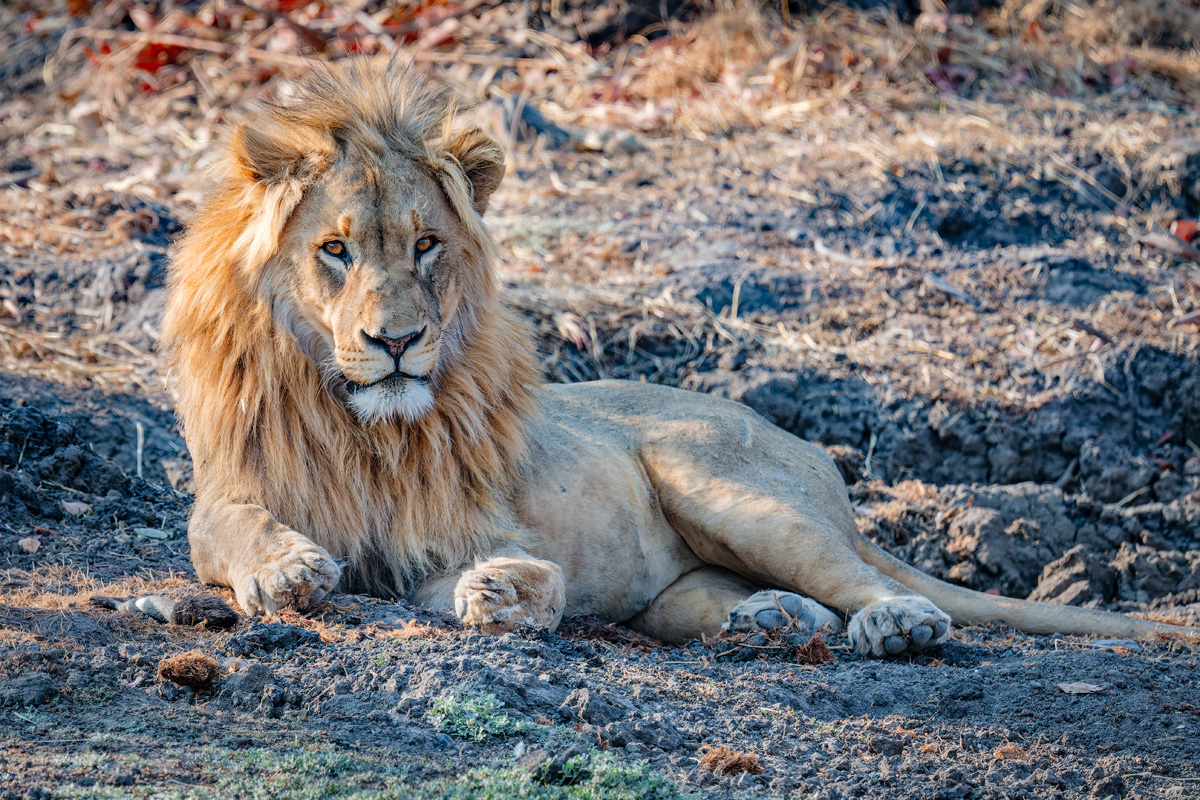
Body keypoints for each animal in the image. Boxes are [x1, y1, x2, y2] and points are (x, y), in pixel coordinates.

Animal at [162, 61, 1198, 657]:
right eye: (335, 249)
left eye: (425, 245)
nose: (397, 342)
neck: (360, 422)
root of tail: (805, 448)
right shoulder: (233, 487)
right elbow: (230, 532)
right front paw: (286, 571)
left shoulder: (465, 520)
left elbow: (497, 570)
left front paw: (508, 590)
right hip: (688, 579)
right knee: (746, 602)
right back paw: (772, 622)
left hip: (728, 491)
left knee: (868, 583)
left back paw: (893, 625)